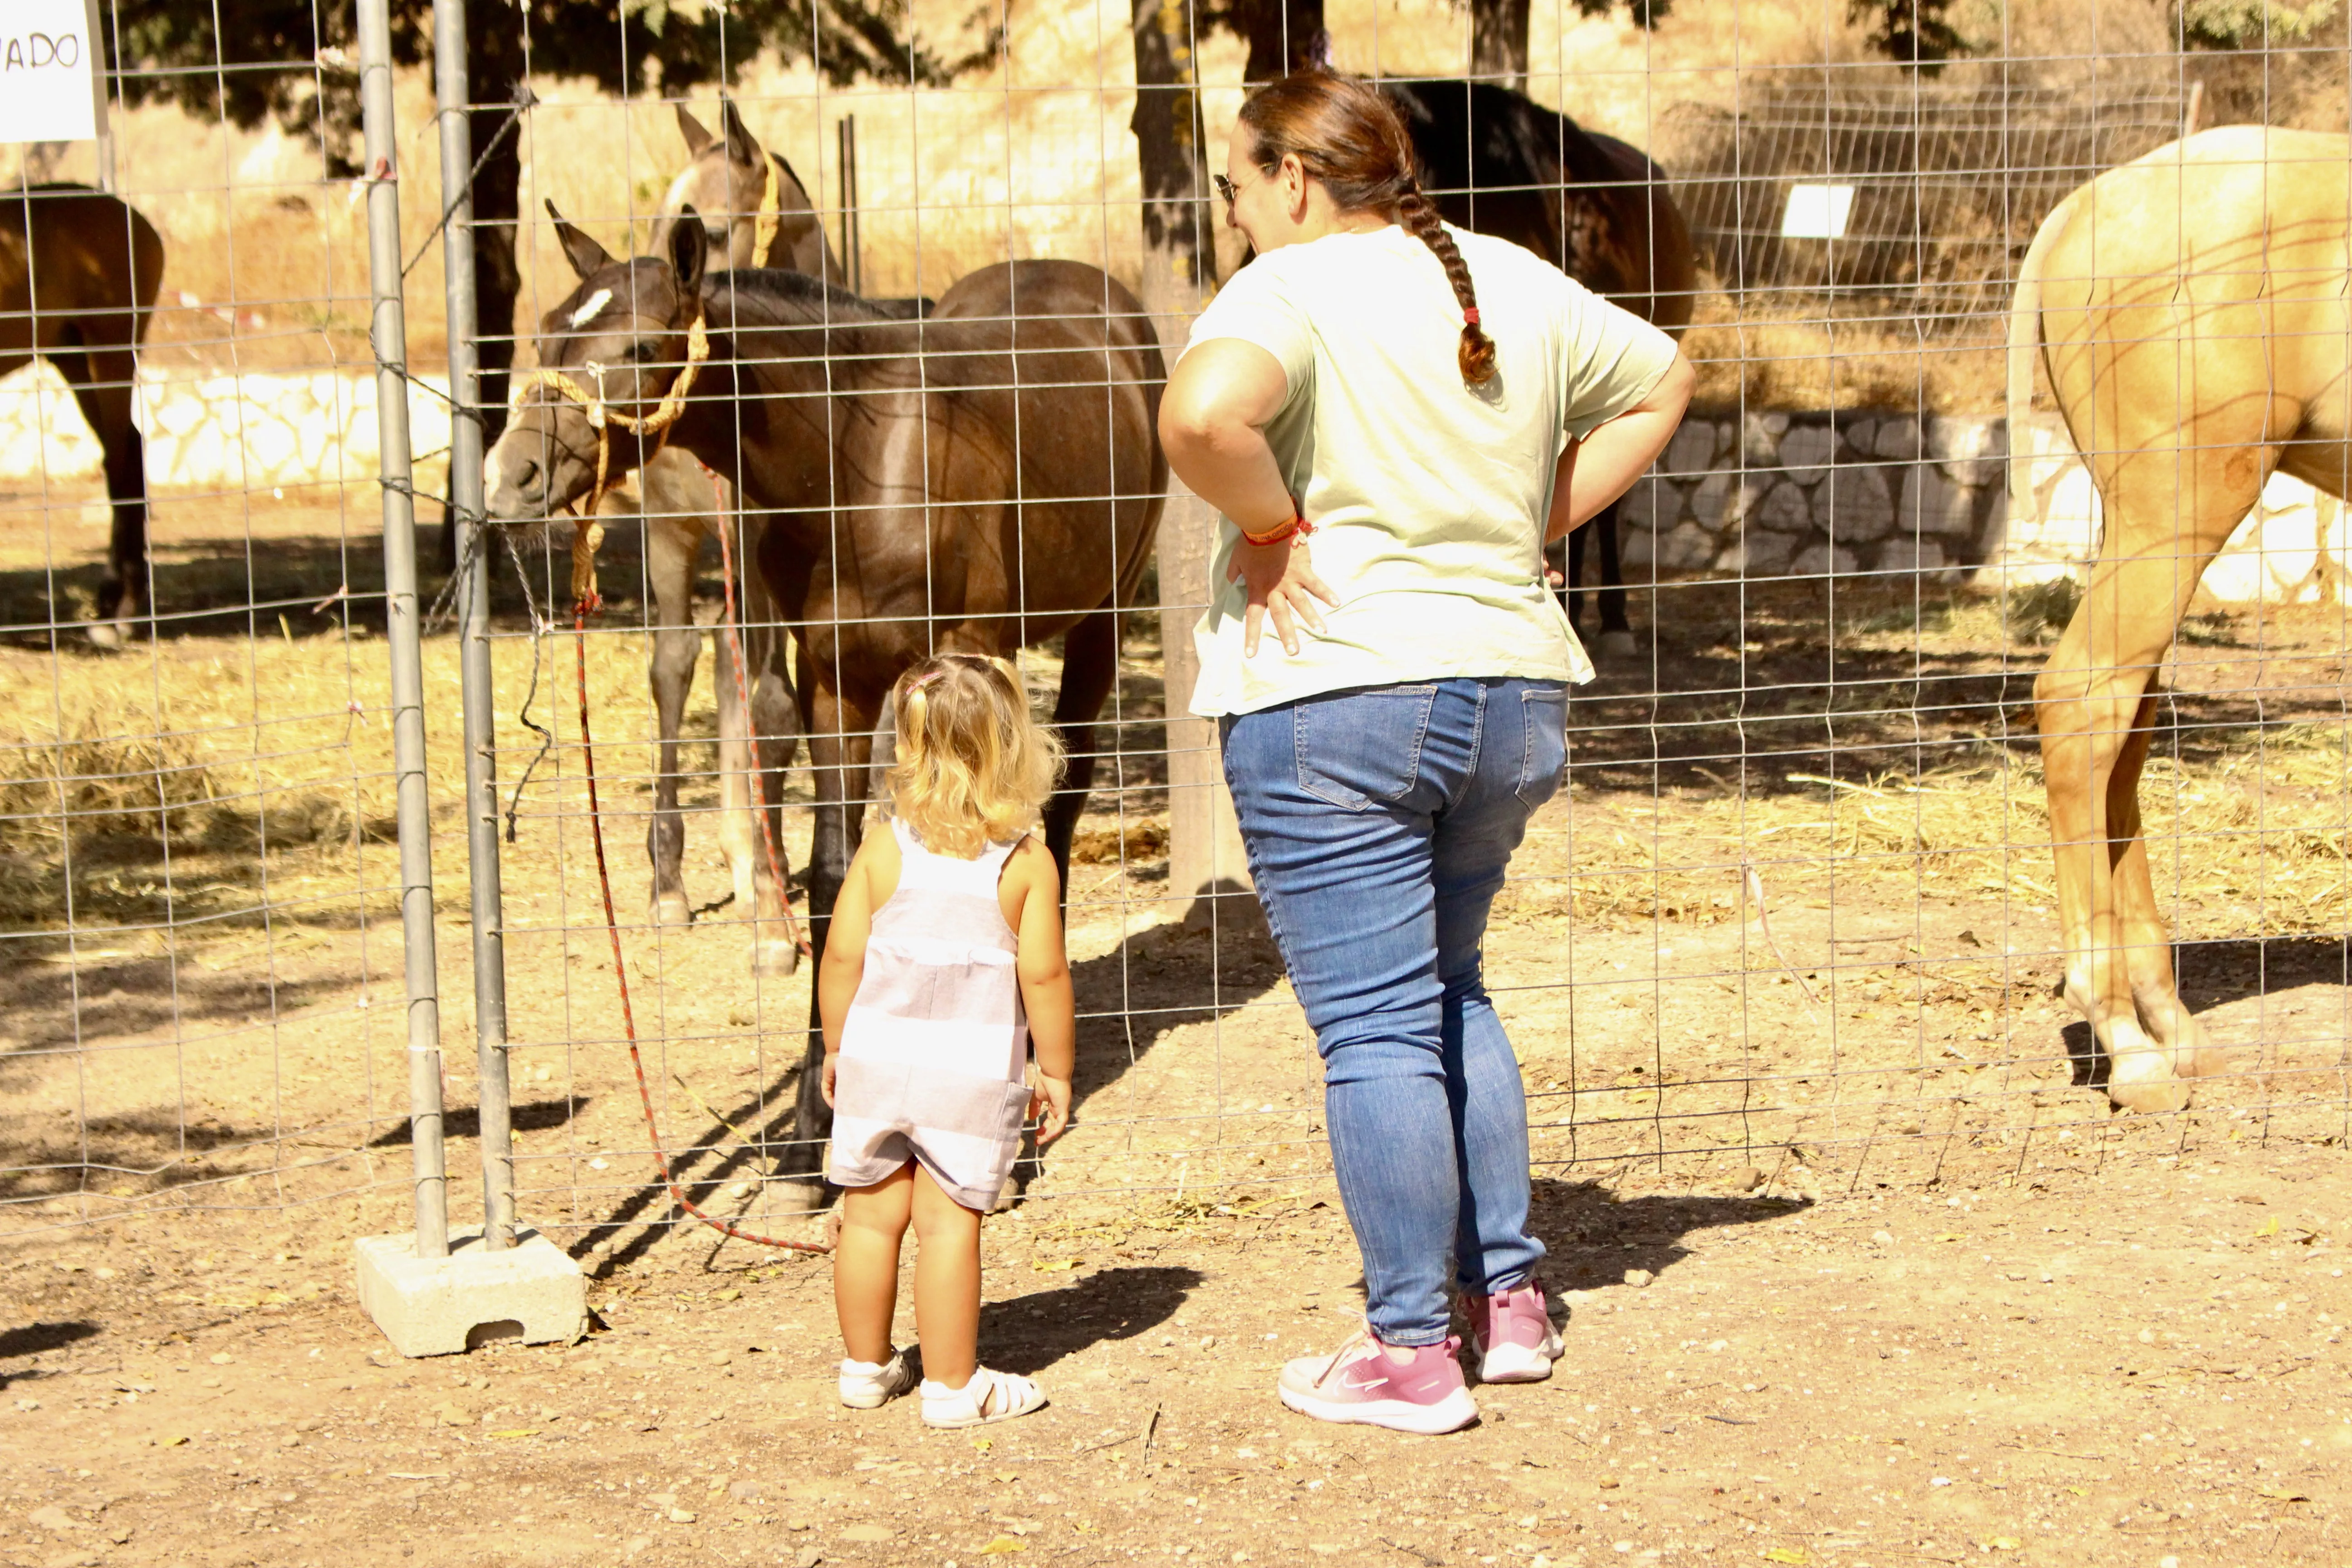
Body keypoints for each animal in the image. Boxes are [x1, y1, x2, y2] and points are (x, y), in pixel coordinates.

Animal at [484, 208, 1166, 1189]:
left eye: (641, 344)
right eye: (544, 335)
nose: (511, 478)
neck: (859, 460)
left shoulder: (967, 655)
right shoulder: (834, 685)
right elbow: (837, 879)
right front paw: (813, 1137)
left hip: (1100, 620)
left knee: (1062, 811)